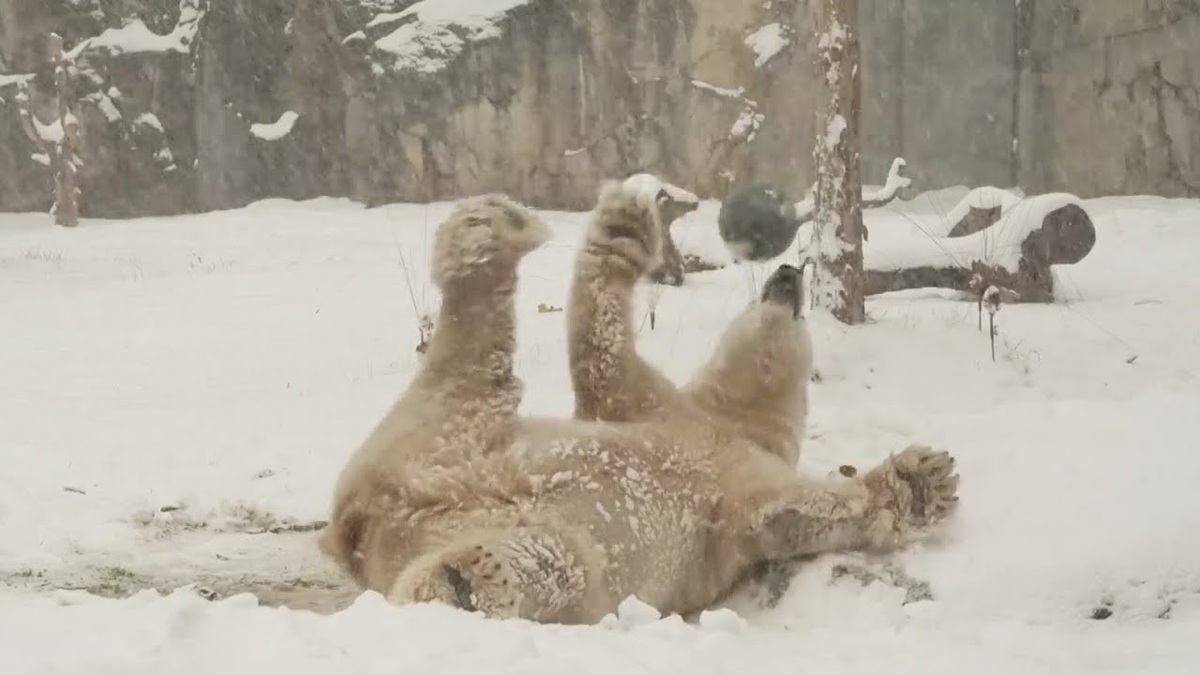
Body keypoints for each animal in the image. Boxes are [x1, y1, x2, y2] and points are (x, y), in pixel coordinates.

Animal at [316, 186, 955, 624]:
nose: (788, 272)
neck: (726, 421)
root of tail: (364, 528)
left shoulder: (738, 499)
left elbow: (802, 510)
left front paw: (925, 481)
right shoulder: (655, 409)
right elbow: (602, 357)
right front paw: (624, 221)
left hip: (443, 448)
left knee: (547, 552)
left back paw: (464, 582)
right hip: (436, 439)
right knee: (472, 367)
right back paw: (494, 228)